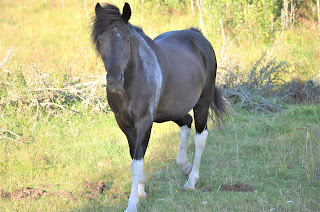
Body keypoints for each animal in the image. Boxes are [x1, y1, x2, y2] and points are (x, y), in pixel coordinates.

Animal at [90, 2, 225, 211]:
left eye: (128, 39)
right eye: (101, 40)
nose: (114, 80)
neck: (133, 81)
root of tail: (198, 35)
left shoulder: (145, 121)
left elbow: (136, 163)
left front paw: (132, 203)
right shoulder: (124, 123)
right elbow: (135, 156)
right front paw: (141, 190)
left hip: (202, 102)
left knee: (201, 136)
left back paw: (191, 181)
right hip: (172, 110)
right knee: (186, 122)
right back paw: (184, 165)